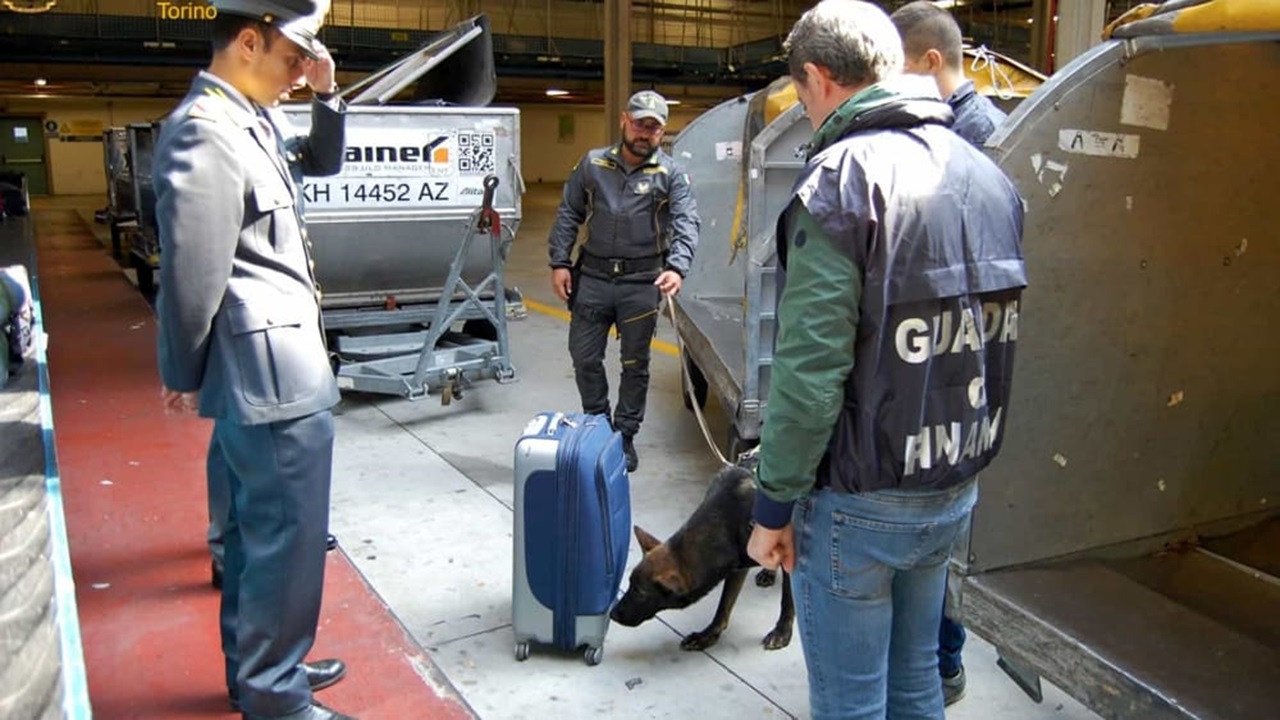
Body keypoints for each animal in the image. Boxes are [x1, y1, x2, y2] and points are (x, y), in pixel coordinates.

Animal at [606, 461, 788, 648]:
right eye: (629, 584)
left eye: (640, 592)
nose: (612, 614)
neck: (725, 520)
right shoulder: (738, 566)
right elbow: (724, 605)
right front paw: (708, 635)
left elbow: (787, 604)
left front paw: (782, 633)